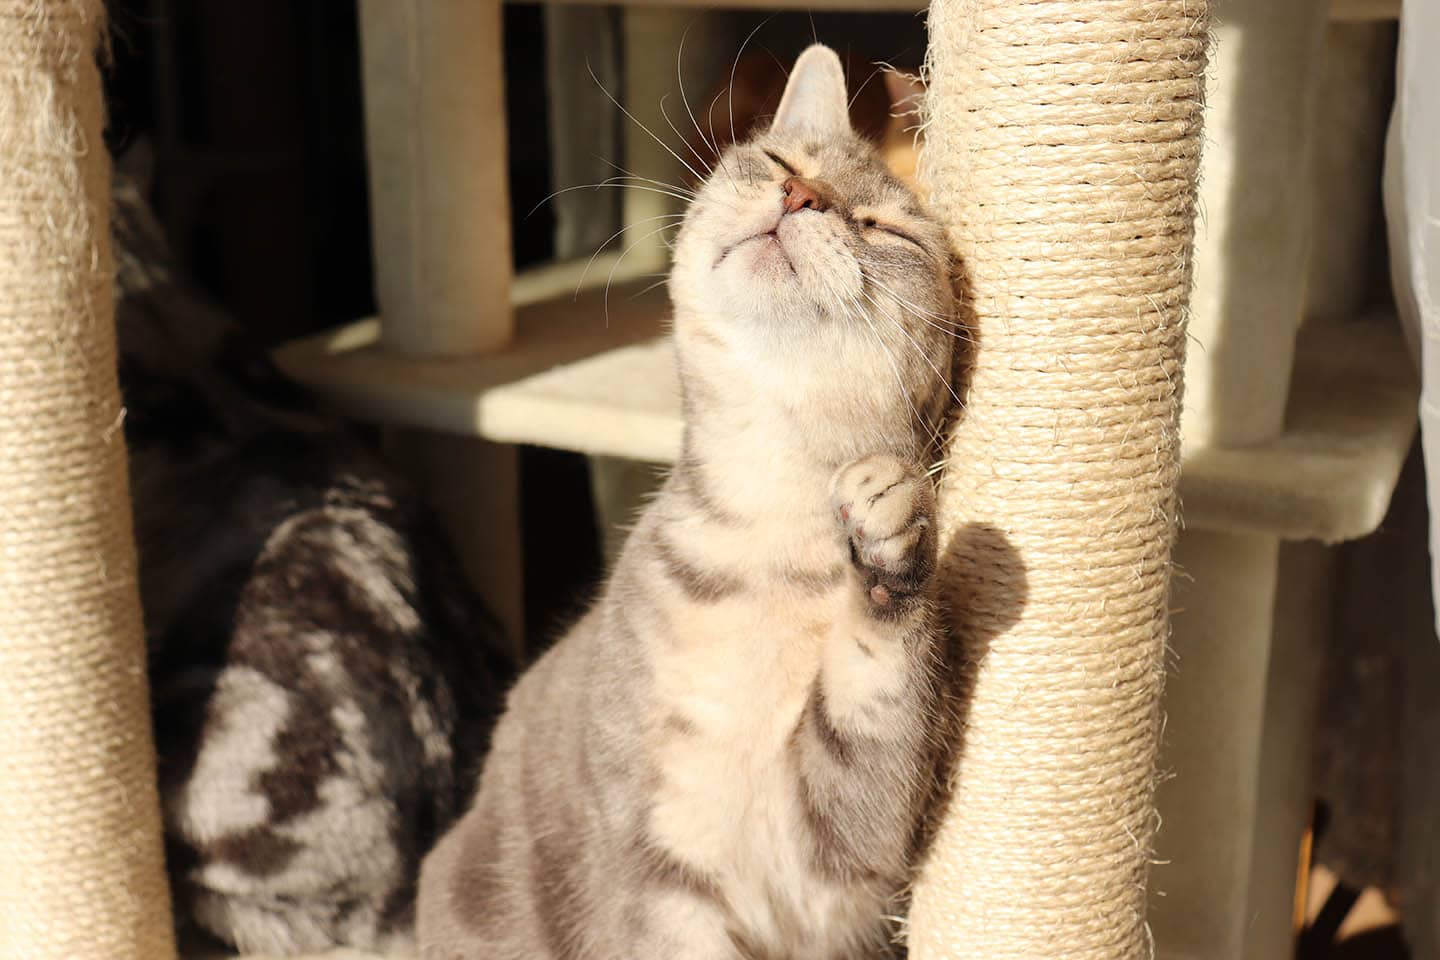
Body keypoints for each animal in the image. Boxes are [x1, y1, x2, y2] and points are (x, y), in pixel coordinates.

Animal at [417, 46, 956, 960]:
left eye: (884, 228)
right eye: (778, 159)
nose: (801, 196)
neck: (770, 543)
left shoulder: (837, 852)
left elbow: (874, 685)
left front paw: (889, 528)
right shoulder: (659, 865)